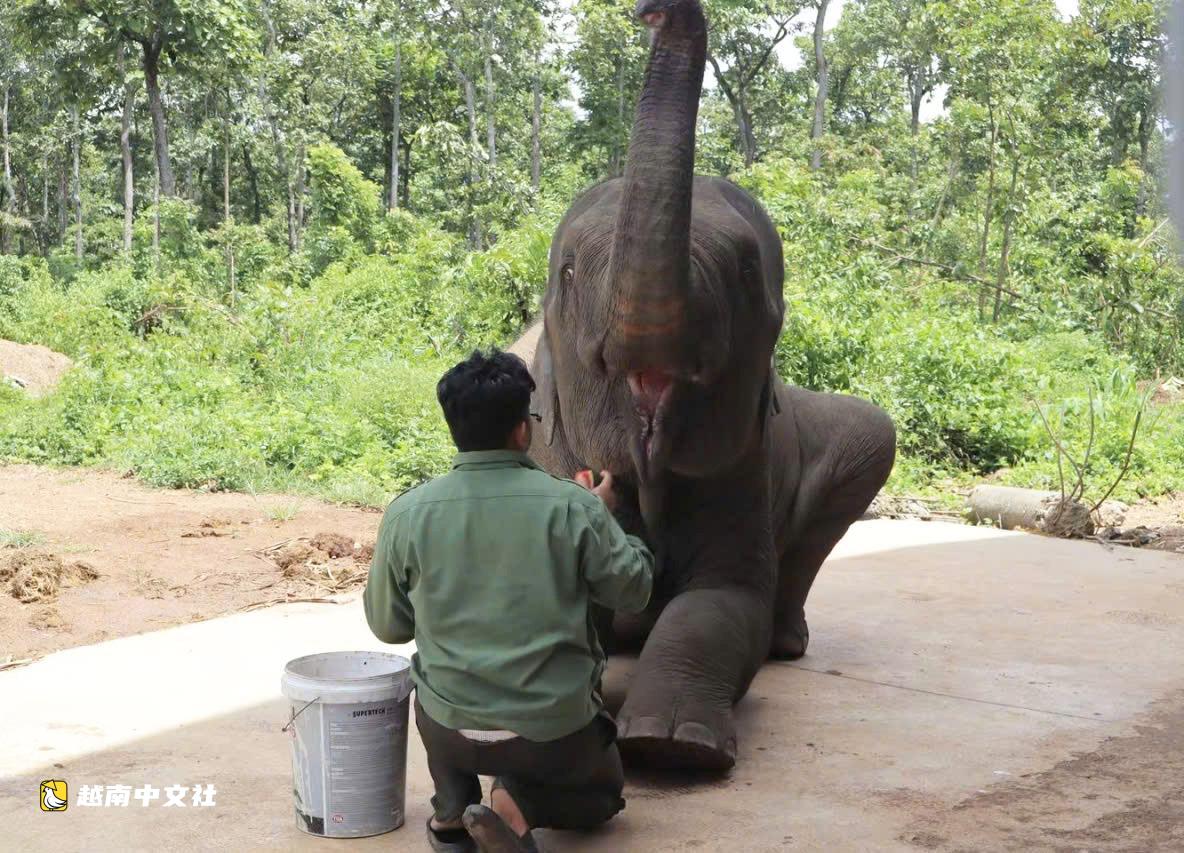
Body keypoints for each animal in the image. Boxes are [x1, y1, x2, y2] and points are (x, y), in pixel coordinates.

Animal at [509, 0, 896, 772]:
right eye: (567, 274)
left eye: (748, 275)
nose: (662, 12)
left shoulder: (741, 460)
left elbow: (722, 603)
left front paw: (672, 746)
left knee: (869, 440)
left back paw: (785, 643)